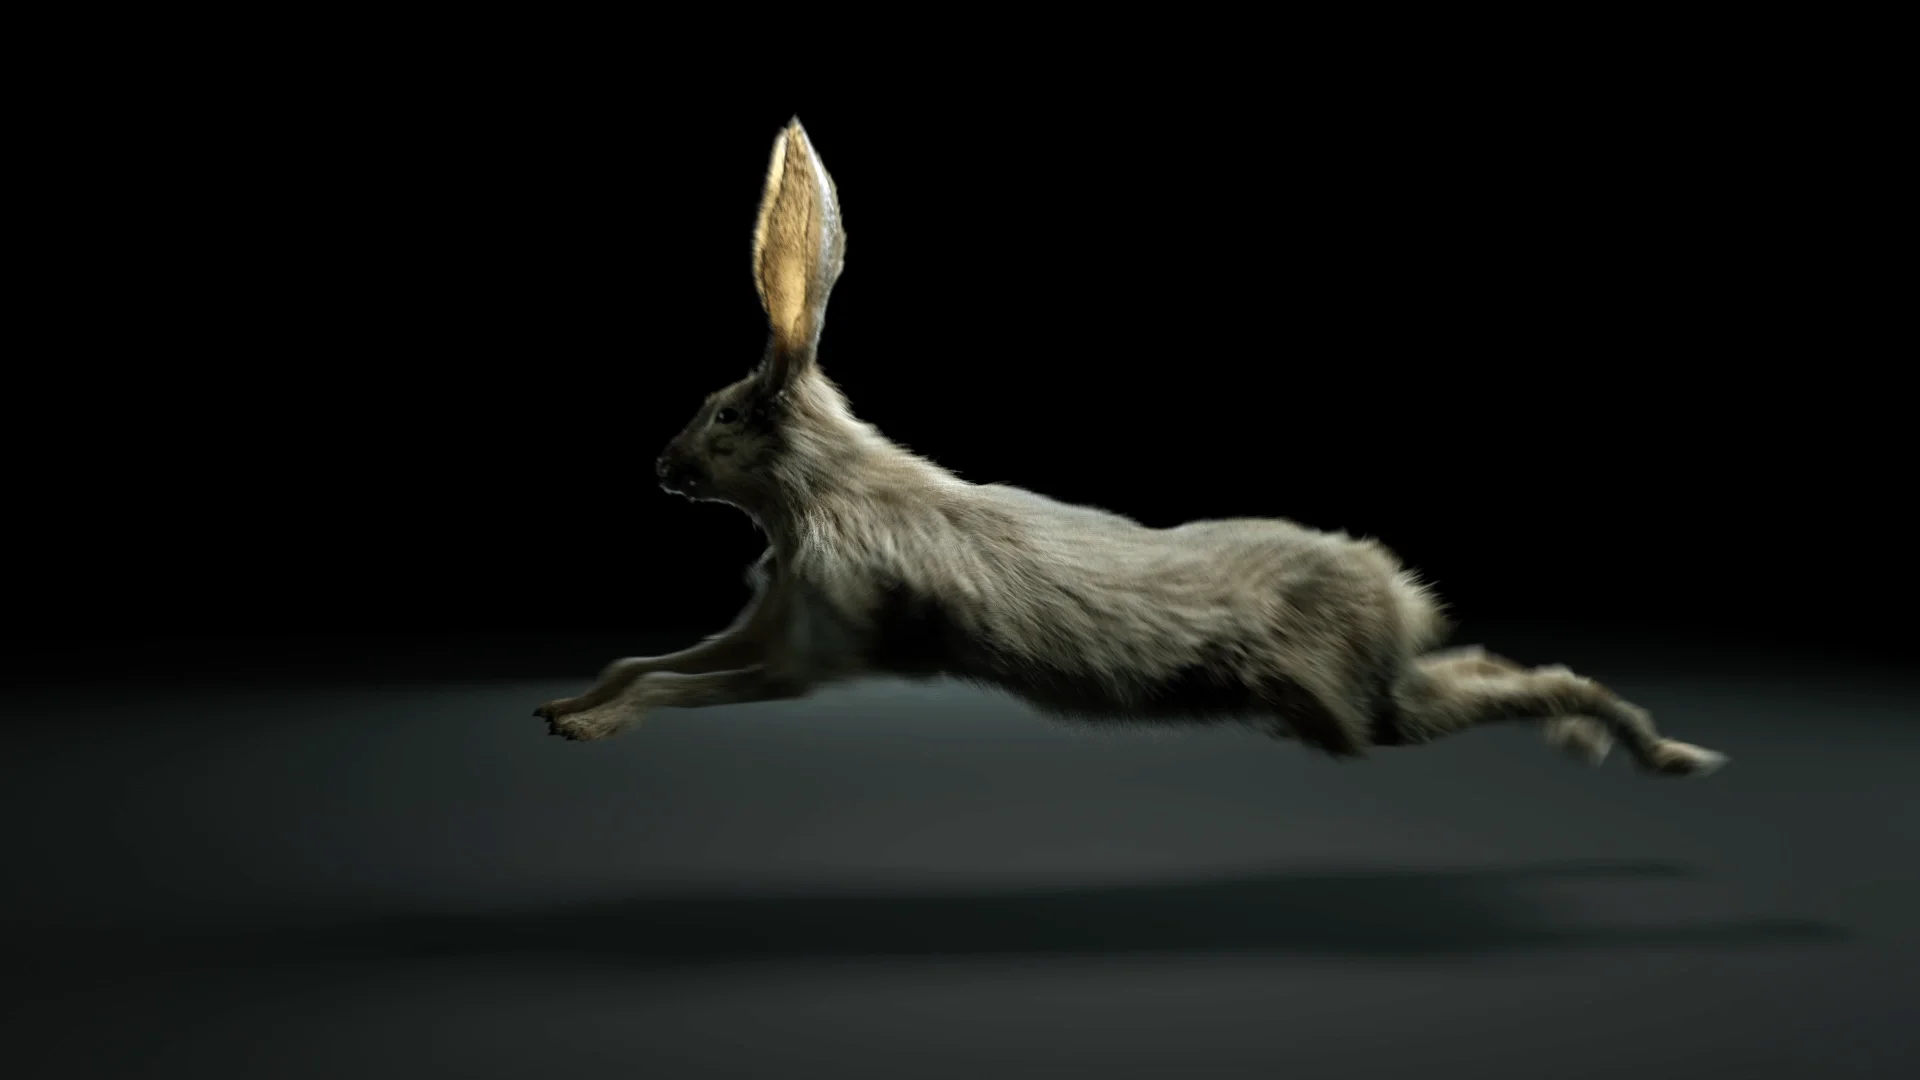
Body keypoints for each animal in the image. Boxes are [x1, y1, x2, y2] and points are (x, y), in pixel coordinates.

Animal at [532, 118, 1728, 779]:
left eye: (724, 413)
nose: (660, 467)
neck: (818, 493)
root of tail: (1402, 599)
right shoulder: (771, 614)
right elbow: (649, 661)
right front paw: (562, 708)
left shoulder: (813, 650)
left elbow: (679, 689)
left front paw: (594, 730)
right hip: (1366, 694)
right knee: (1489, 670)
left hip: (1346, 706)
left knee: (1506, 687)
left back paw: (1667, 754)